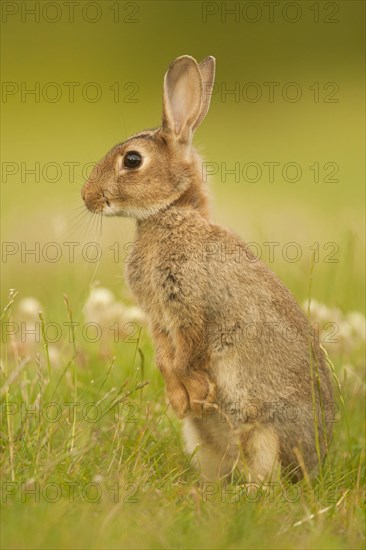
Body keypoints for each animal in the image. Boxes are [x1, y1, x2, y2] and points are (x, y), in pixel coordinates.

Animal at [81, 52, 334, 484]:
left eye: (132, 160)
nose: (87, 197)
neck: (171, 214)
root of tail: (315, 460)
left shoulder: (193, 306)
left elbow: (189, 353)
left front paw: (195, 394)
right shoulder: (159, 318)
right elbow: (166, 359)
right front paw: (180, 399)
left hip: (263, 431)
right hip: (202, 440)